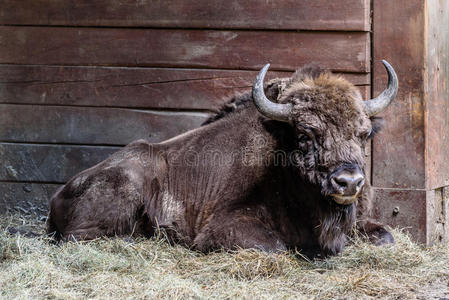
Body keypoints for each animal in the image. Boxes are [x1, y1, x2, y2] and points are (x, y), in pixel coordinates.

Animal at [47, 60, 398, 258]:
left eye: (363, 134)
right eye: (304, 136)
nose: (348, 182)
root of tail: (58, 194)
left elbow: (387, 236)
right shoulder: (222, 228)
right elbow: (276, 247)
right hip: (126, 185)